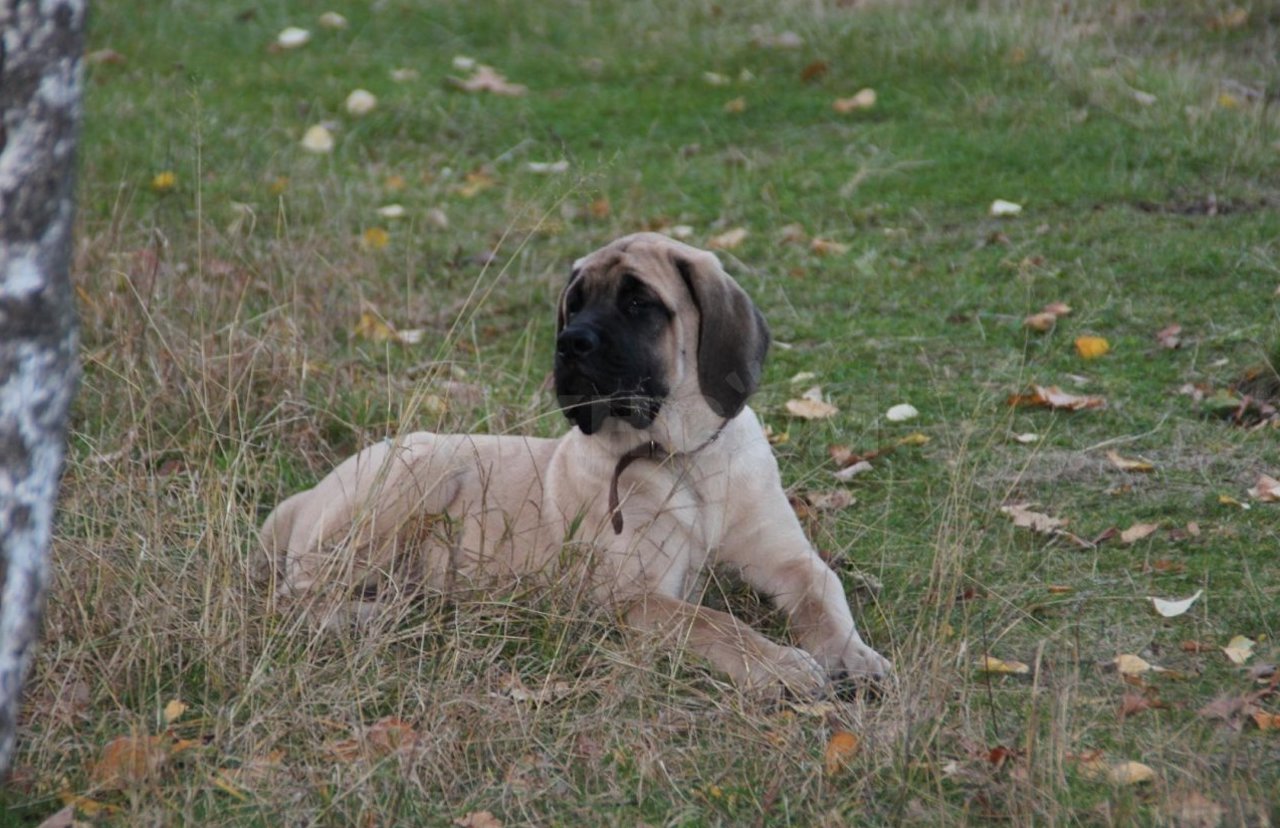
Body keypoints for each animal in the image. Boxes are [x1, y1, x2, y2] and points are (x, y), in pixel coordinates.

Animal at [262, 235, 890, 701]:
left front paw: (857, 657)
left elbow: (825, 594)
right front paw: (781, 665)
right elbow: (715, 623)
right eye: (576, 303)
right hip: (417, 474)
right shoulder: (636, 596)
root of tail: (308, 495)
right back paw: (374, 615)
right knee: (296, 594)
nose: (569, 343)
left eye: (638, 303)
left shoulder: (789, 559)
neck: (684, 460)